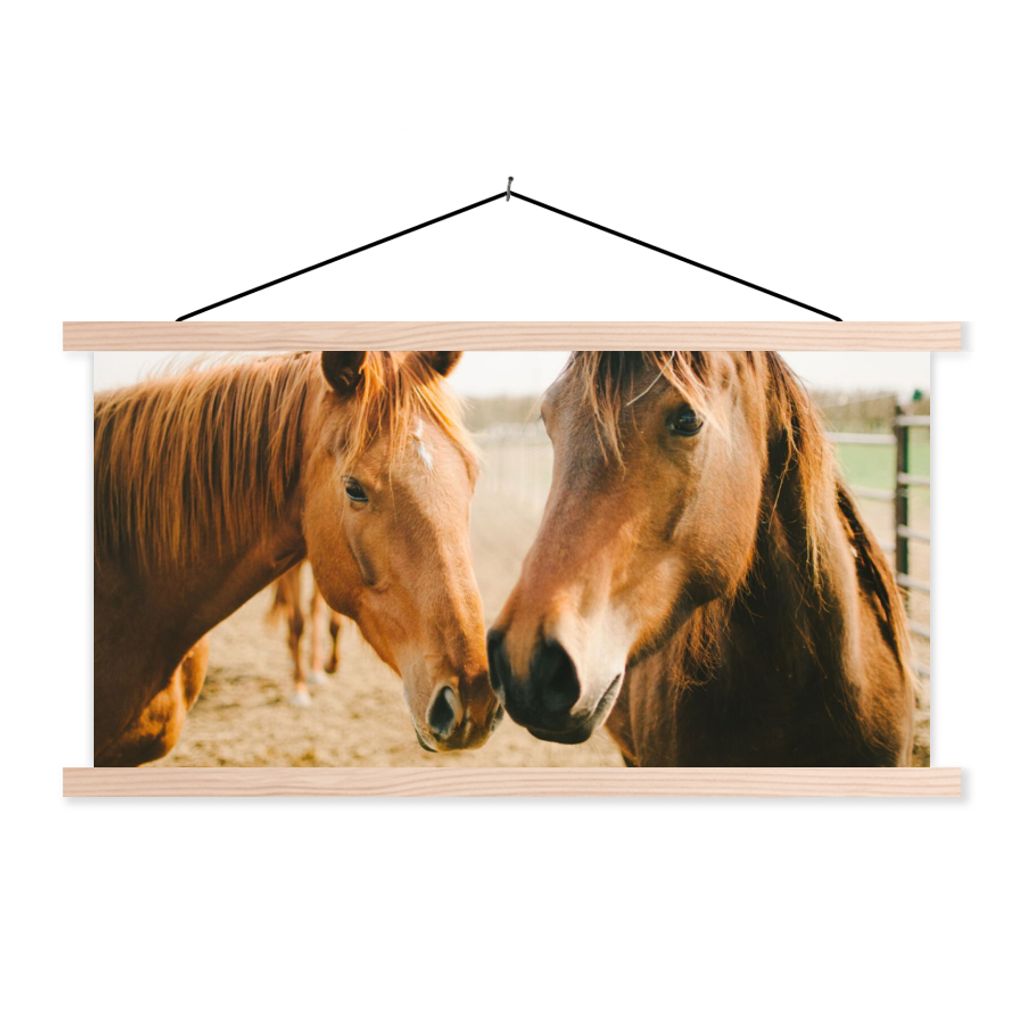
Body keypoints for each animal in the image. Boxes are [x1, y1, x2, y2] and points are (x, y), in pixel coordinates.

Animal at [267, 562, 344, 707]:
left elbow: (335, 624)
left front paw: (331, 665)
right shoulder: (291, 570)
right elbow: (297, 624)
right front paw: (300, 690)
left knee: (314, 608)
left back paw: (316, 669)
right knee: (289, 610)